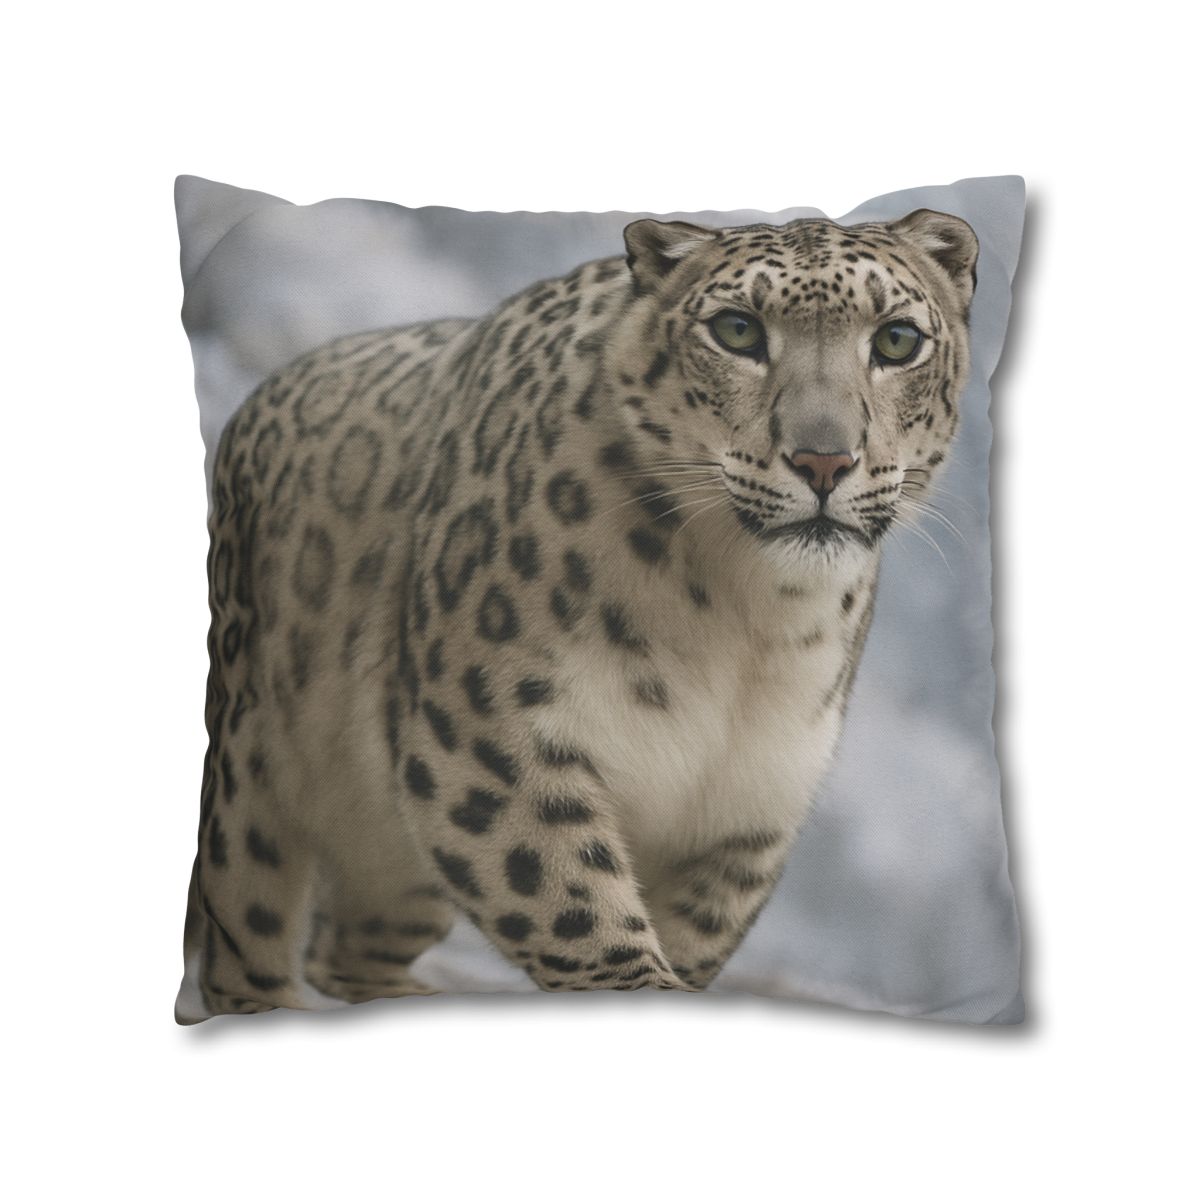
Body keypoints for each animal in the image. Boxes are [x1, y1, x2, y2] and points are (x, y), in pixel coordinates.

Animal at [176, 207, 979, 1021]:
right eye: (738, 331)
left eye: (897, 340)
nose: (824, 461)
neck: (747, 619)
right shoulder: (488, 733)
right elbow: (572, 901)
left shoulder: (749, 801)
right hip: (249, 776)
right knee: (245, 935)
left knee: (351, 945)